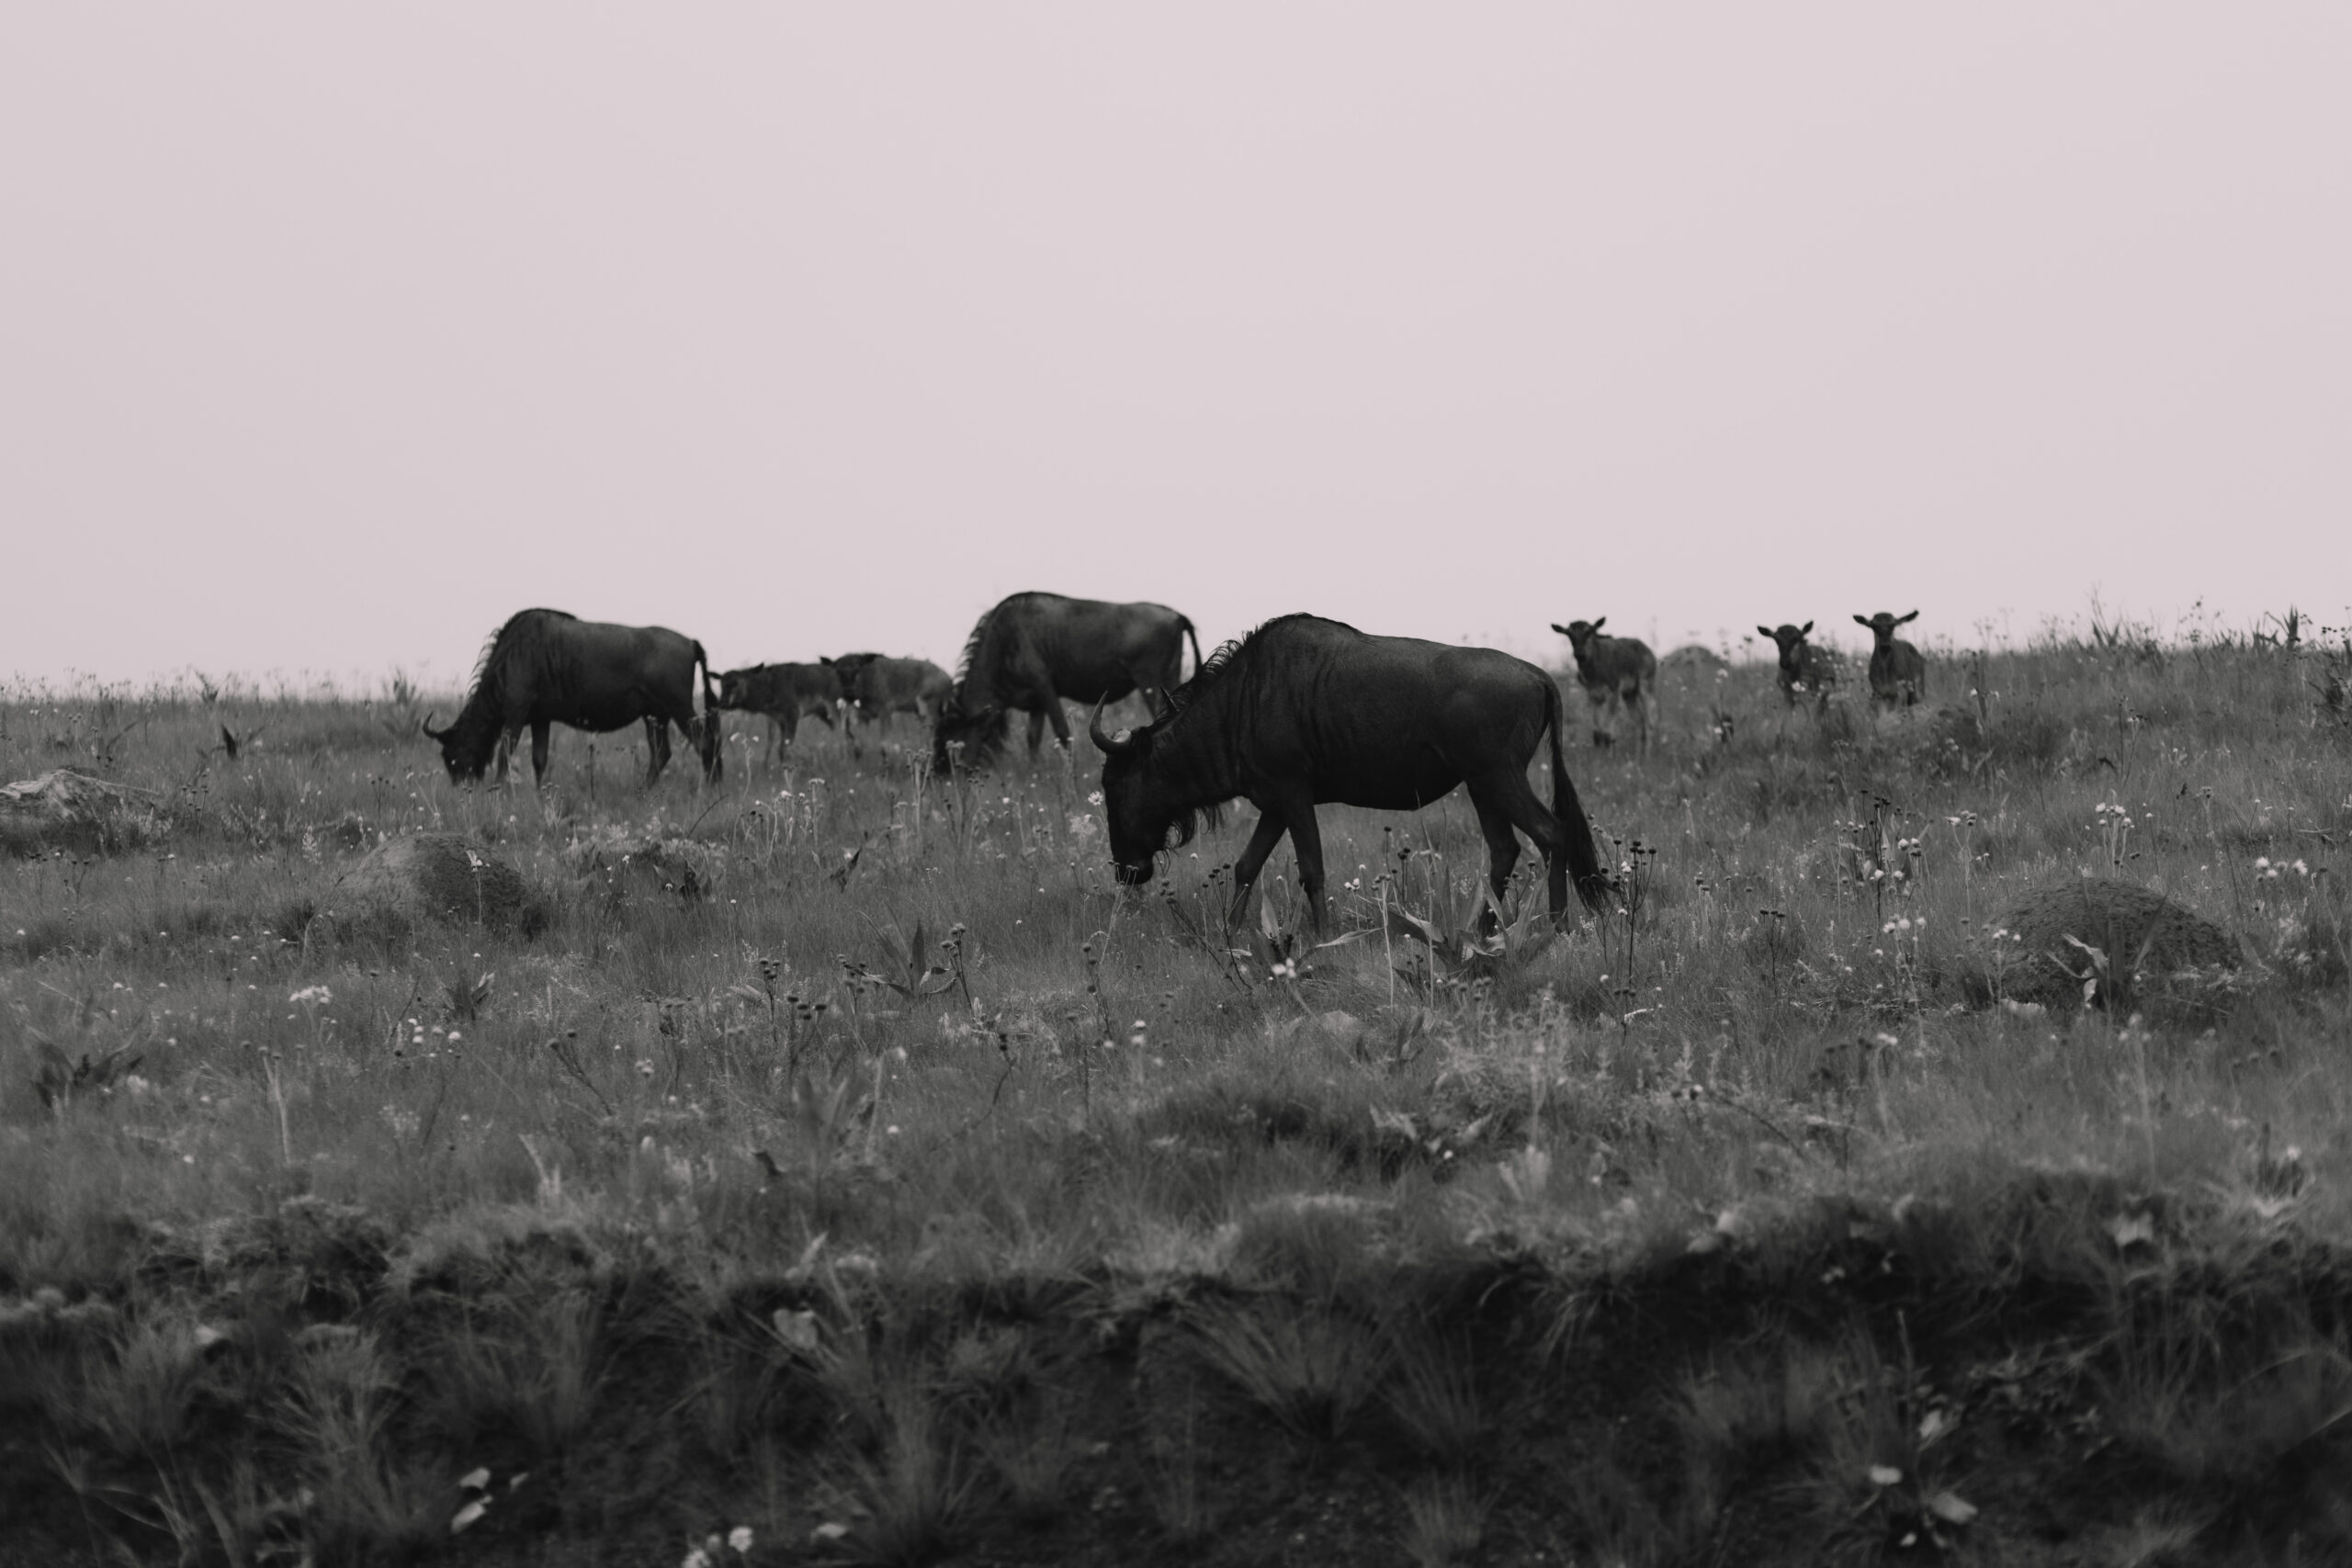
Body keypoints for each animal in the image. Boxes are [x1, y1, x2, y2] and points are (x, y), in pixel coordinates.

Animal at [715, 658, 846, 761]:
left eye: (736, 683)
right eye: (721, 685)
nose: (722, 703)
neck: (768, 692)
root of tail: (838, 676)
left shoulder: (793, 713)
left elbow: (787, 748)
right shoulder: (780, 720)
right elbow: (780, 749)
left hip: (834, 707)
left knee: (842, 733)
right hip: (823, 713)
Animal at [1552, 620, 1665, 751]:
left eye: (1589, 632)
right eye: (1569, 634)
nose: (1580, 654)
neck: (1594, 675)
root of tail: (1652, 655)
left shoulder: (1614, 688)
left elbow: (1607, 733)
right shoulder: (1593, 695)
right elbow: (1597, 734)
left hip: (1646, 683)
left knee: (1650, 722)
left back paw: (1647, 753)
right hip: (1629, 693)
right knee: (1638, 721)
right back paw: (1637, 754)